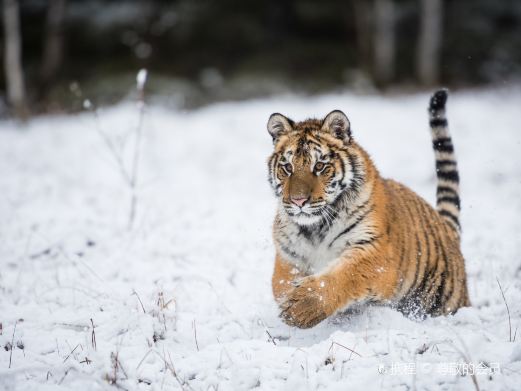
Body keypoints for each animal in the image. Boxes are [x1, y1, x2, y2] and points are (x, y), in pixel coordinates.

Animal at [266, 88, 470, 328]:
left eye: (320, 166)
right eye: (287, 168)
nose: (298, 201)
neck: (315, 229)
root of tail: (446, 226)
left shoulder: (375, 250)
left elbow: (344, 275)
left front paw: (301, 307)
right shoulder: (288, 257)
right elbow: (281, 285)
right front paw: (289, 302)